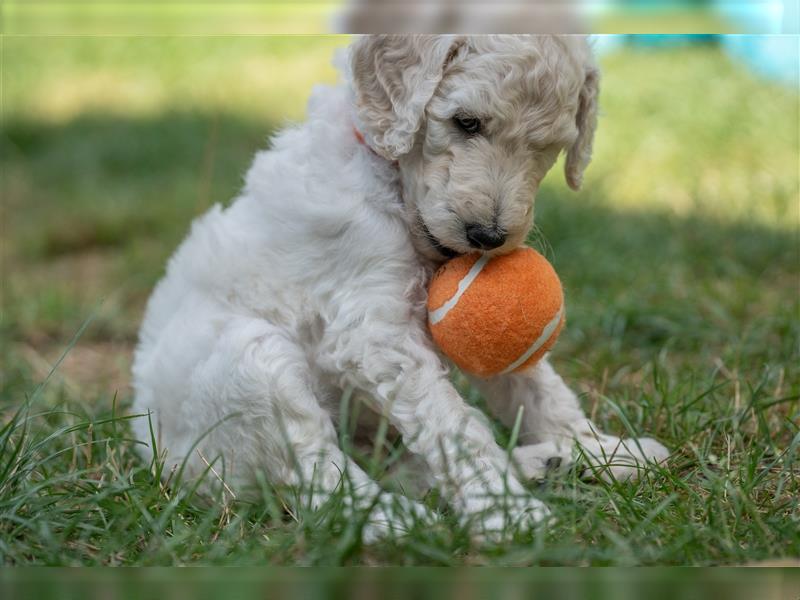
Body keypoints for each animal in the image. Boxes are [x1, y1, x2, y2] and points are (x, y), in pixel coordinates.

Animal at [131, 35, 668, 540]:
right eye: (466, 123)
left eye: (548, 147)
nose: (489, 236)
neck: (389, 178)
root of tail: (163, 460)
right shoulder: (372, 332)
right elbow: (454, 425)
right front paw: (510, 515)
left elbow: (538, 389)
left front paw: (603, 449)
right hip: (247, 365)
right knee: (317, 478)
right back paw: (399, 522)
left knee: (399, 470)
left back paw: (544, 463)